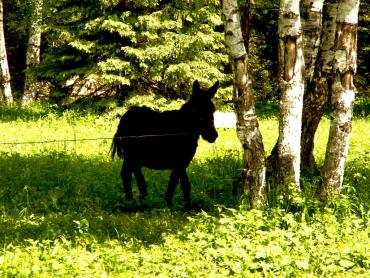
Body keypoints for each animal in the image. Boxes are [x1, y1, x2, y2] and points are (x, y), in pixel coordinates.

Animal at [110, 80, 220, 208]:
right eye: (196, 110)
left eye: (213, 110)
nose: (213, 135)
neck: (185, 128)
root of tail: (125, 117)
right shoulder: (180, 162)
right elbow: (178, 182)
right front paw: (172, 205)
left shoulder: (183, 162)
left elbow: (182, 183)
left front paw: (183, 205)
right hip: (131, 156)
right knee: (127, 174)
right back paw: (131, 201)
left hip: (135, 158)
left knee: (133, 175)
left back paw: (141, 199)